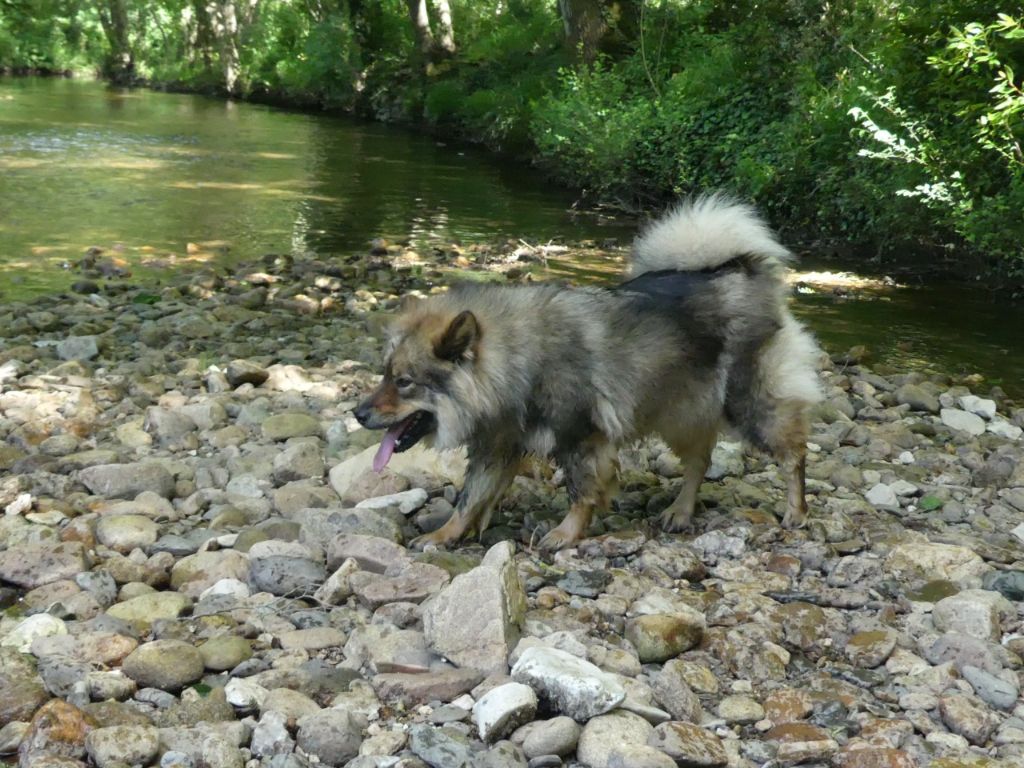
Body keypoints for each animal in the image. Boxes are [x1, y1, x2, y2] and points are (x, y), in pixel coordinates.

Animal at [356, 195, 819, 548]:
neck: (518, 363)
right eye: (386, 374)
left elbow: (582, 491)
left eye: (405, 382)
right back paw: (681, 511)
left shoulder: (582, 438)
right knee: (699, 461)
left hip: (747, 403)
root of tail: (741, 268)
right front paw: (446, 535)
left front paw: (566, 533)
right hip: (679, 411)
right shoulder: (497, 446)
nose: (358, 414)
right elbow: (470, 498)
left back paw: (796, 511)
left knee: (793, 454)